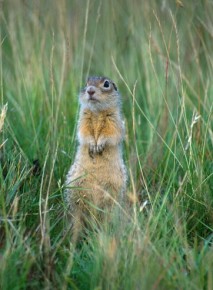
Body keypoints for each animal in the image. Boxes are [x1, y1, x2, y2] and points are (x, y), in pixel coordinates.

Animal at [65, 76, 127, 232]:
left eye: (106, 84)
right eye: (86, 83)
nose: (90, 91)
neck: (97, 112)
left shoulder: (114, 120)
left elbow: (110, 133)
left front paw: (99, 145)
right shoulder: (83, 120)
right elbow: (84, 133)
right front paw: (93, 145)